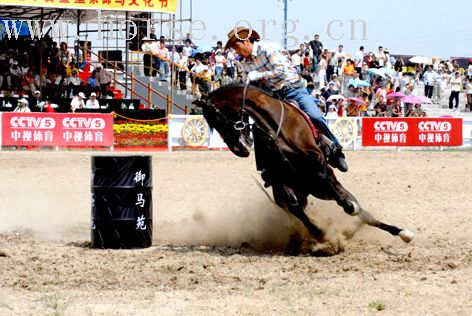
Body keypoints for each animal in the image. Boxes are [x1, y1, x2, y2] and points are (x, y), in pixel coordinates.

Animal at [192, 82, 412, 246]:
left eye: (216, 118)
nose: (239, 149)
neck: (275, 128)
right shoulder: (279, 179)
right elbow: (295, 207)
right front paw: (318, 232)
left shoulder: (318, 162)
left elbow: (334, 189)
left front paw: (347, 208)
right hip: (303, 191)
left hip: (321, 189)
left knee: (363, 213)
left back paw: (401, 231)